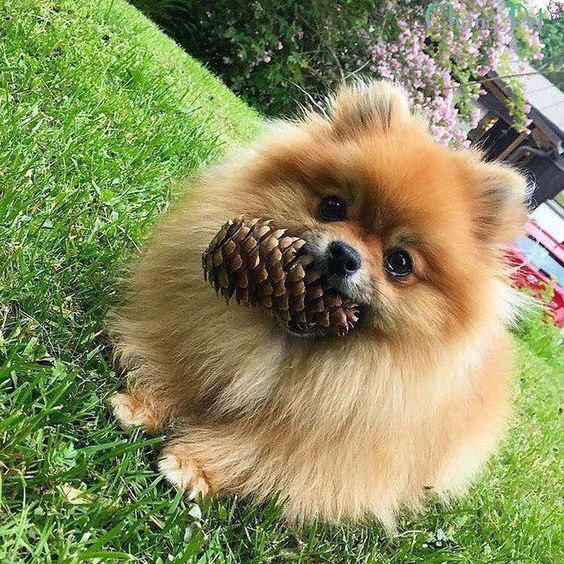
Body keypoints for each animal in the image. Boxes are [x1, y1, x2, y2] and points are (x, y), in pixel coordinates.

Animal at [108, 80, 528, 528]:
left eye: (399, 262)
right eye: (333, 206)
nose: (344, 255)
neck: (287, 342)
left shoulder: (325, 444)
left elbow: (260, 450)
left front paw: (193, 465)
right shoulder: (199, 340)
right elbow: (179, 368)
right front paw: (144, 402)